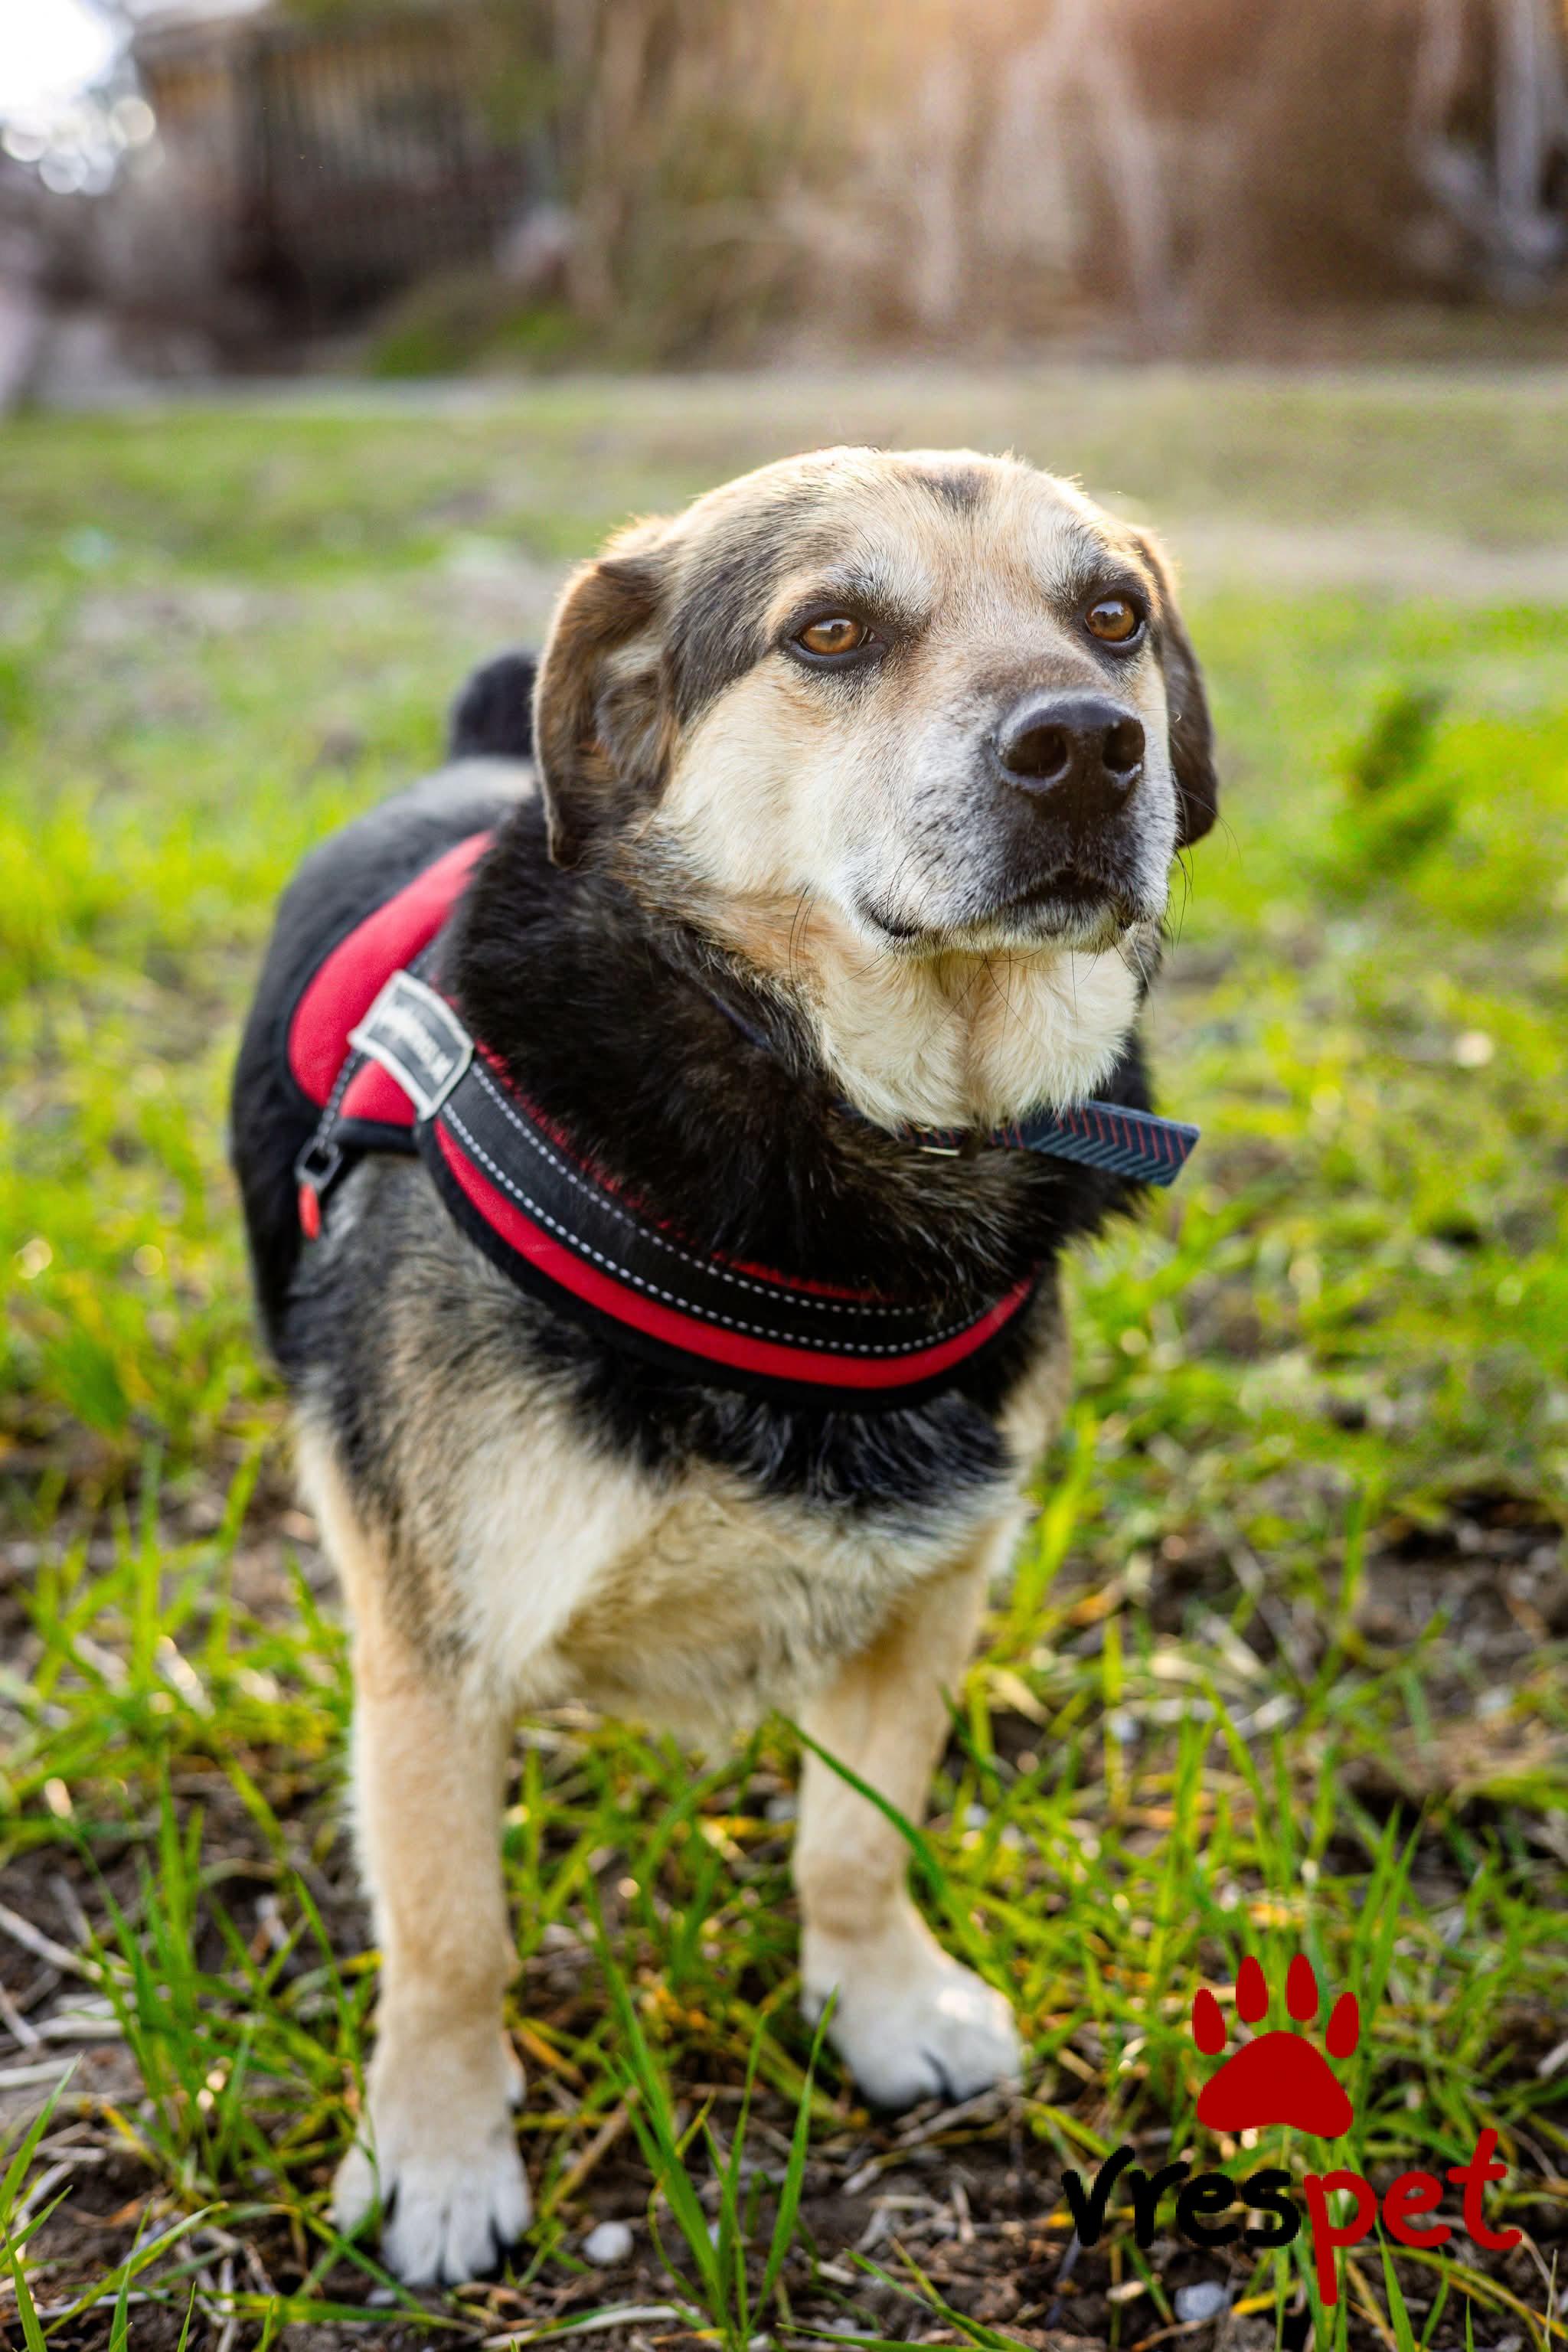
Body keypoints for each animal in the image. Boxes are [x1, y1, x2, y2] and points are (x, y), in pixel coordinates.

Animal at [230, 445, 1217, 2286]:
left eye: (1112, 616)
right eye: (830, 632)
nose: (1083, 745)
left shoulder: (929, 1586)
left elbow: (856, 1840)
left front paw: (883, 2005)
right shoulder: (433, 1652)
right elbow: (451, 1935)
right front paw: (439, 2153)